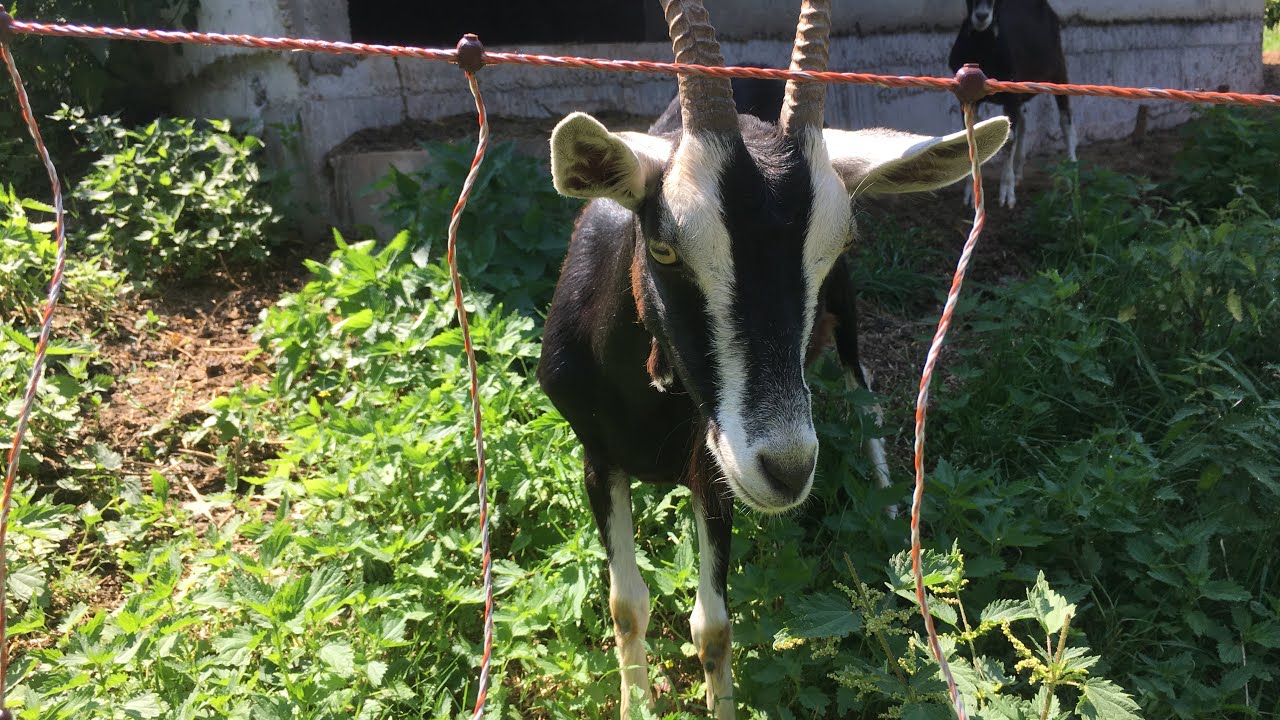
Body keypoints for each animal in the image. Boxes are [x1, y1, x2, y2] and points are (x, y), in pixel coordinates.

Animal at [538, 1, 1009, 716]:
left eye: (838, 241)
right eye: (665, 246)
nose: (787, 469)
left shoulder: (714, 471)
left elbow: (712, 628)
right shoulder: (599, 456)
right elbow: (626, 605)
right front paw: (635, 701)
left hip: (847, 324)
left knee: (866, 395)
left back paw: (889, 514)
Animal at [949, 0, 1077, 207]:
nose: (982, 16)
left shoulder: (1010, 95)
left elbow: (1009, 139)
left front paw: (1007, 194)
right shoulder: (966, 97)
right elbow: (971, 137)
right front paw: (970, 194)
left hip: (1059, 69)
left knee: (1065, 117)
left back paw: (1072, 168)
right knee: (1024, 122)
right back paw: (1018, 172)